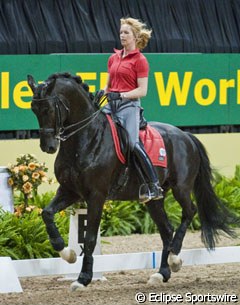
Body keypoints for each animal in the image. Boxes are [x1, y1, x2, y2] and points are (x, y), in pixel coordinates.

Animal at [27, 72, 236, 288]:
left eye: (49, 108)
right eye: (33, 109)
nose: (48, 147)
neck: (86, 139)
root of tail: (186, 135)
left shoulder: (96, 195)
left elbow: (90, 238)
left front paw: (83, 278)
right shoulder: (70, 191)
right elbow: (47, 214)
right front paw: (67, 253)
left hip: (181, 188)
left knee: (189, 212)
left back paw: (175, 258)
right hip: (154, 199)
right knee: (166, 230)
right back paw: (161, 273)